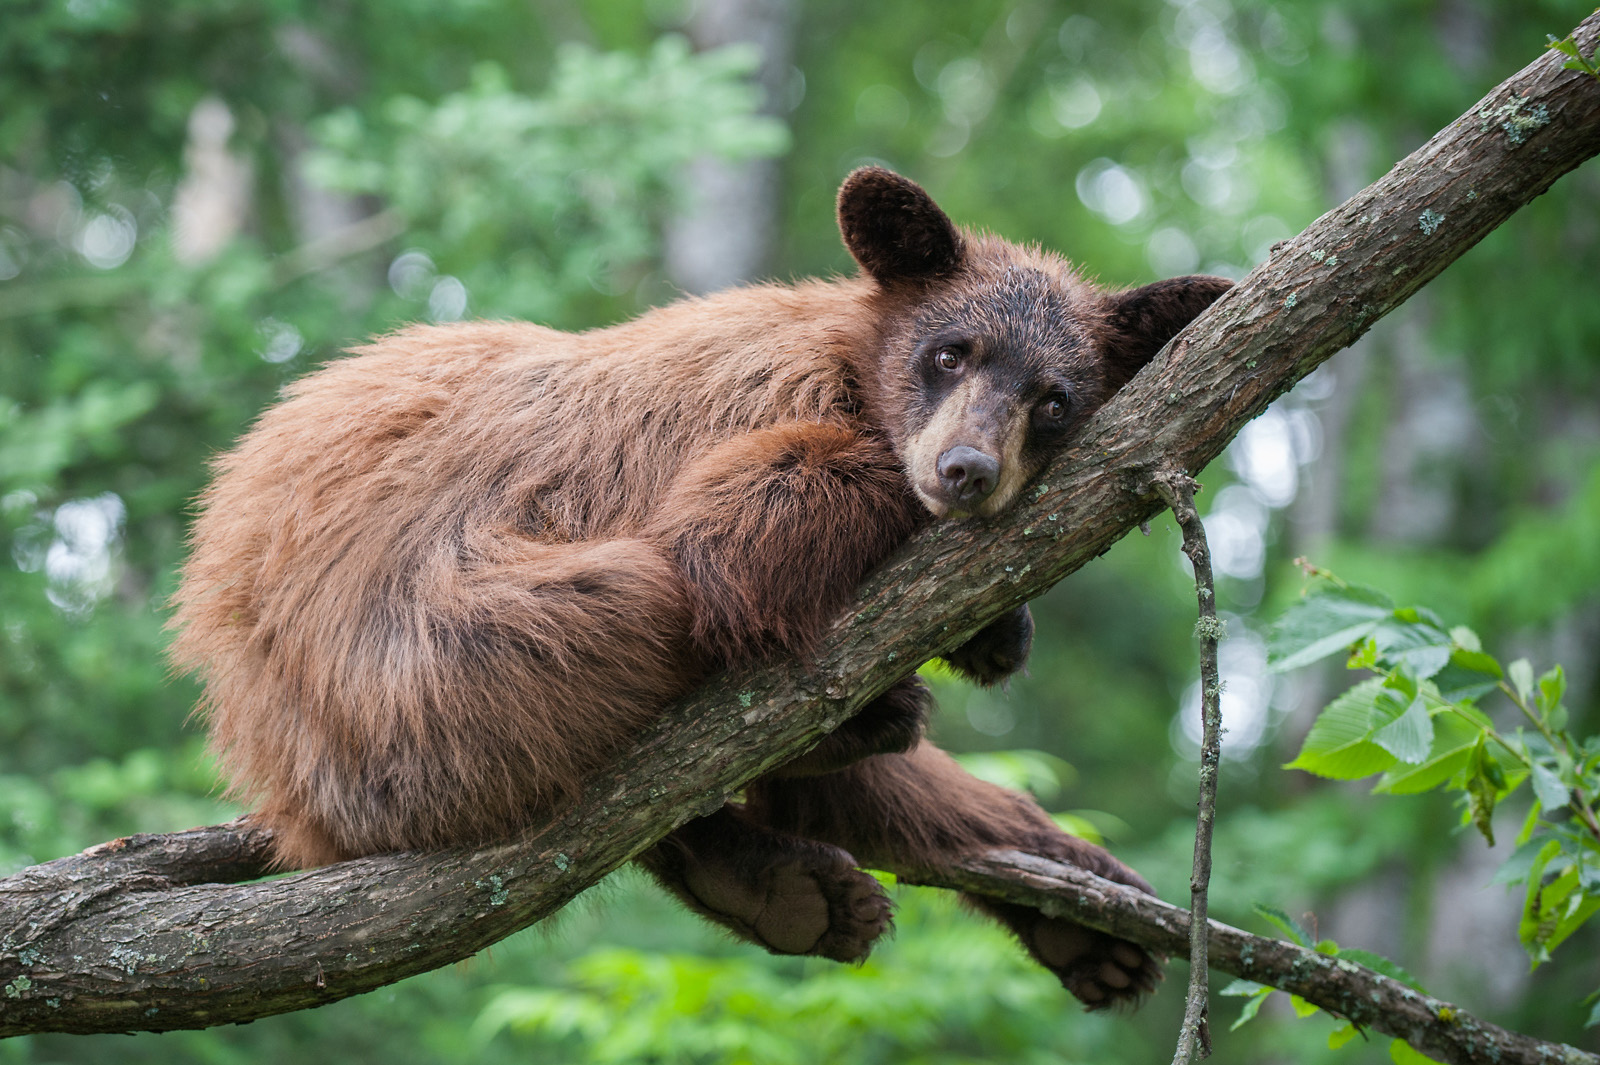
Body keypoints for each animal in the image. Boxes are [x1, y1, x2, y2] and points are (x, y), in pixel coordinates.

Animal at [172, 166, 1222, 1004]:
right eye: (949, 351)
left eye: (1055, 401)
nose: (966, 470)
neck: (850, 357)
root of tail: (282, 782)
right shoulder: (758, 400)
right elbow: (733, 537)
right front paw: (981, 628)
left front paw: (995, 640)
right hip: (438, 666)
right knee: (650, 622)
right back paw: (842, 772)